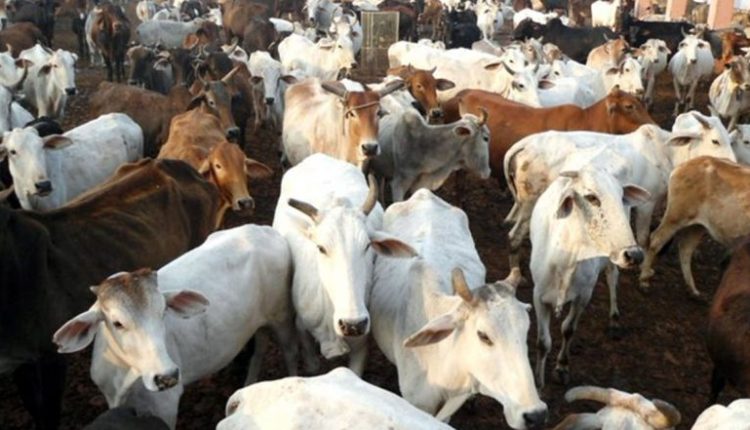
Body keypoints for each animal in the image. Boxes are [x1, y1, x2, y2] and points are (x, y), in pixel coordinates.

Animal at [54, 225, 296, 429]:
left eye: (163, 312)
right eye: (117, 323)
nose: (166, 376)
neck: (123, 377)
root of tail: (266, 230)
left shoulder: (165, 407)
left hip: (282, 318)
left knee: (290, 351)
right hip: (260, 322)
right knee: (260, 347)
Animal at [368, 189, 547, 427]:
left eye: (526, 330)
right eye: (483, 335)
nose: (535, 414)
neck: (440, 358)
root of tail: (424, 193)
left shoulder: (456, 399)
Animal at [530, 168, 649, 388]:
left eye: (621, 197)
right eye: (591, 198)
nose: (635, 255)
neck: (566, 259)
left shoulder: (584, 296)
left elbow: (568, 329)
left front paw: (562, 367)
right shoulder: (539, 296)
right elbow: (543, 342)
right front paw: (538, 382)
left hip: (612, 258)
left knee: (612, 277)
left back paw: (614, 319)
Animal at [640, 157, 750, 299]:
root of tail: (685, 165)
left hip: (697, 226)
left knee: (686, 250)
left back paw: (692, 290)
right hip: (675, 217)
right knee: (656, 241)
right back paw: (644, 281)